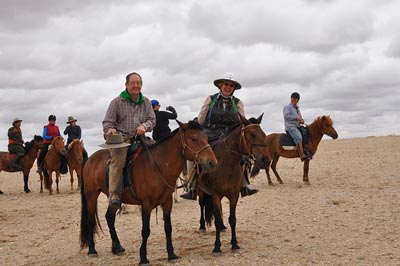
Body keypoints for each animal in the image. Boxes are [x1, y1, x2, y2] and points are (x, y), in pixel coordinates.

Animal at [80, 121, 219, 266]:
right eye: (194, 138)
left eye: (206, 138)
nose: (212, 163)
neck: (158, 165)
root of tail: (90, 159)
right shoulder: (146, 205)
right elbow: (145, 231)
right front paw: (143, 258)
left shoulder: (167, 202)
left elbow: (168, 228)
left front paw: (171, 254)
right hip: (91, 195)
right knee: (91, 220)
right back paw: (92, 250)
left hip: (114, 200)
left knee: (109, 217)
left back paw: (117, 247)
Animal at [196, 114, 268, 254]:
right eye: (251, 134)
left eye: (263, 134)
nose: (266, 160)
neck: (226, 163)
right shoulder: (215, 194)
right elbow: (217, 219)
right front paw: (217, 247)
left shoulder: (234, 194)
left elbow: (232, 219)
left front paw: (234, 244)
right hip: (201, 192)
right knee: (202, 205)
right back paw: (202, 226)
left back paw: (223, 227)